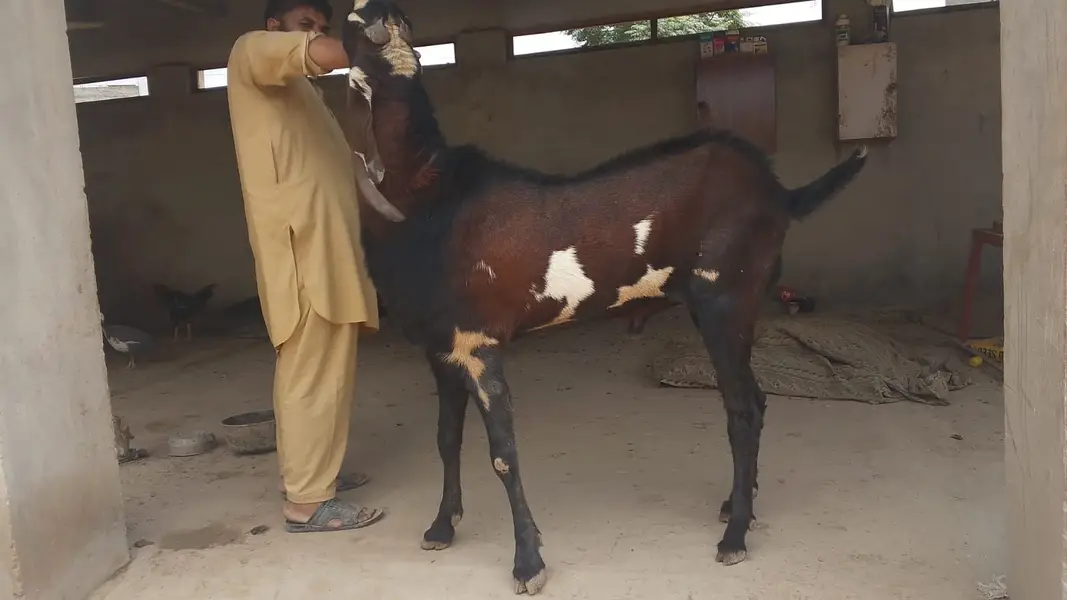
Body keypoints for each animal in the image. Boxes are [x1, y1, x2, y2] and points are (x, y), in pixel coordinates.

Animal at [341, 1, 868, 594]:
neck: (430, 199)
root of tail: (779, 191)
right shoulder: (440, 348)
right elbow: (446, 438)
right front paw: (441, 527)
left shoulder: (479, 345)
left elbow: (503, 454)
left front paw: (528, 563)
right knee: (752, 400)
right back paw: (739, 506)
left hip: (725, 299)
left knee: (742, 409)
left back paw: (734, 535)